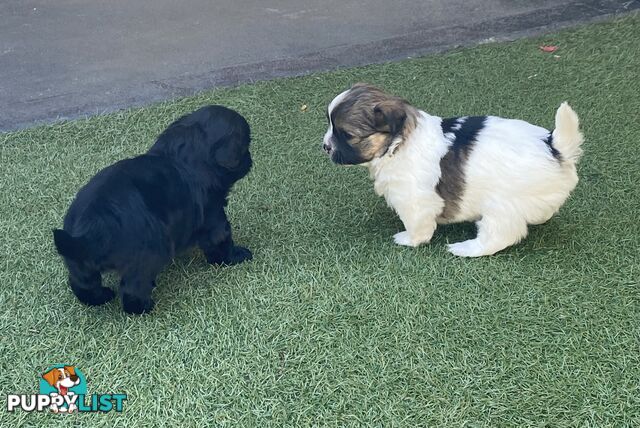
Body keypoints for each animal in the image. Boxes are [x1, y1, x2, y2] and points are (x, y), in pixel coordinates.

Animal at [53, 105, 252, 314]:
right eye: (246, 146)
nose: (250, 159)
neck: (190, 152)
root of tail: (88, 230)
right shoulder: (214, 216)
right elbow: (221, 239)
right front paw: (235, 256)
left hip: (77, 260)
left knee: (82, 283)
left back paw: (101, 297)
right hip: (148, 253)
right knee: (133, 285)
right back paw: (142, 307)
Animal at [322, 85, 584, 256]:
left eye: (346, 135)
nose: (325, 146)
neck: (399, 144)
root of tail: (554, 146)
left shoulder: (414, 199)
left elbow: (418, 225)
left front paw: (409, 239)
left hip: (501, 206)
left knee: (498, 237)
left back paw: (465, 248)